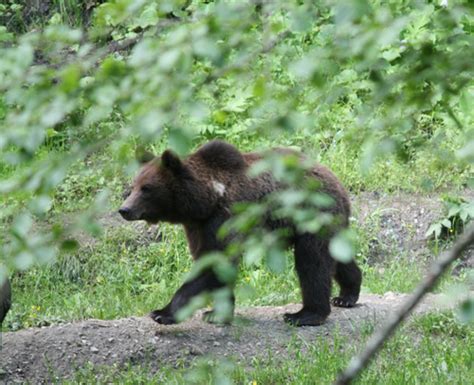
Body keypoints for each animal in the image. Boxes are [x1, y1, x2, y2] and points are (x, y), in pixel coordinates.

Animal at [119, 140, 362, 326]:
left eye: (147, 188)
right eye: (133, 186)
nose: (124, 209)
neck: (206, 201)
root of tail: (337, 181)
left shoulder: (227, 216)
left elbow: (215, 262)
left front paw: (162, 312)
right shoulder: (199, 226)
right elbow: (209, 260)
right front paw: (216, 314)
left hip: (312, 214)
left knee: (312, 261)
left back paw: (305, 315)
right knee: (336, 256)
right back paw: (347, 295)